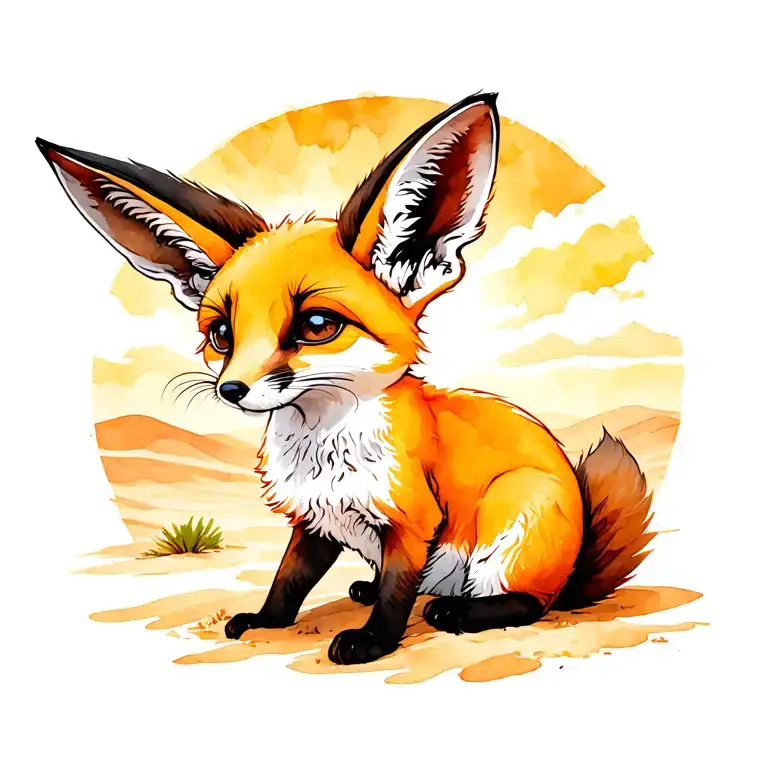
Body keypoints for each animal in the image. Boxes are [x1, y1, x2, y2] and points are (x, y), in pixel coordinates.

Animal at [37, 93, 655, 665]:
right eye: (222, 333)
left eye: (316, 325)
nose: (231, 390)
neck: (325, 452)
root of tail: (574, 566)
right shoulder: (313, 520)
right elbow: (288, 581)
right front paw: (266, 621)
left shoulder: (412, 519)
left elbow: (396, 594)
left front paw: (372, 642)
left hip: (513, 516)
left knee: (531, 604)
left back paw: (458, 611)